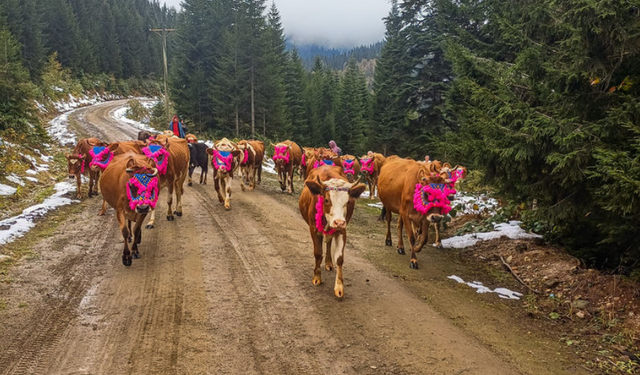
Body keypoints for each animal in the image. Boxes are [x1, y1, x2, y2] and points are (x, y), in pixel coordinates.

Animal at [298, 167, 364, 300]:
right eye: (327, 200)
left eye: (347, 202)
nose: (339, 222)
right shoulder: (314, 229)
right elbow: (318, 253)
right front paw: (317, 277)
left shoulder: (342, 231)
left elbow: (339, 258)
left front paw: (339, 287)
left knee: (329, 243)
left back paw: (328, 262)